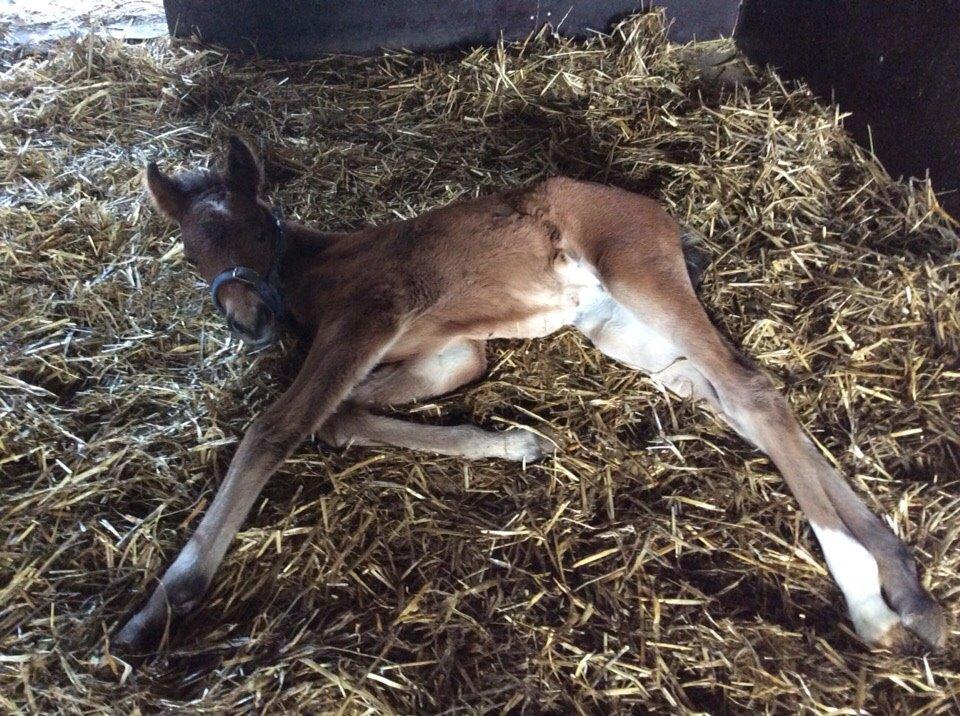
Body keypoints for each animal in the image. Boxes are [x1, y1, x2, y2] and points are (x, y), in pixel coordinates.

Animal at [116, 136, 948, 656]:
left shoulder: (374, 312)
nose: (248, 320)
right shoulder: (452, 353)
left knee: (753, 389)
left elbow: (280, 425)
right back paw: (907, 583)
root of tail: (659, 214)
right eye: (193, 248)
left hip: (638, 274)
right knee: (734, 398)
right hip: (623, 331)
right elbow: (345, 416)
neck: (319, 274)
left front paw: (165, 598)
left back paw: (868, 601)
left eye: (262, 227)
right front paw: (517, 443)